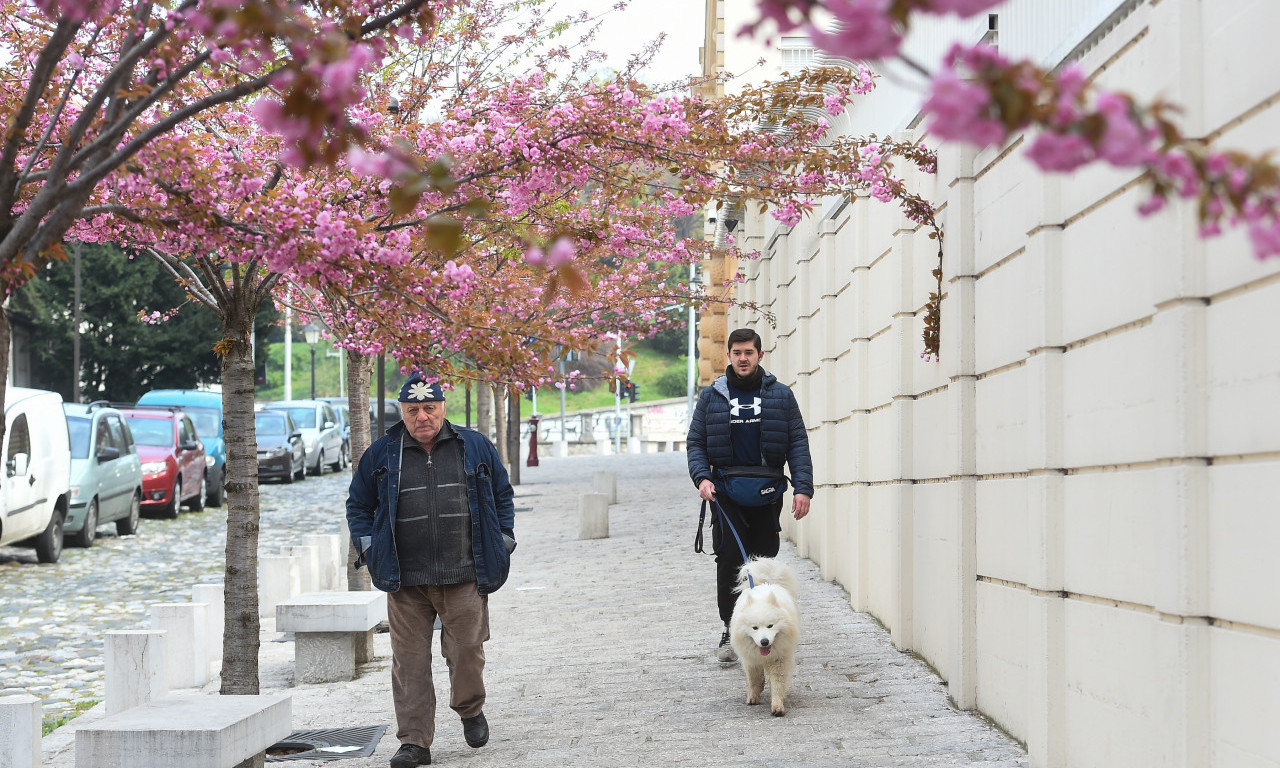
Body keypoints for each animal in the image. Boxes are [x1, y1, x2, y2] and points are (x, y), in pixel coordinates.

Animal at [732, 558, 798, 711]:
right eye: (754, 628)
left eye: (770, 626)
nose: (764, 642)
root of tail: (765, 583)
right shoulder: (751, 660)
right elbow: (754, 680)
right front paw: (753, 697)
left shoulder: (779, 659)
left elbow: (778, 683)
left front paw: (777, 705)